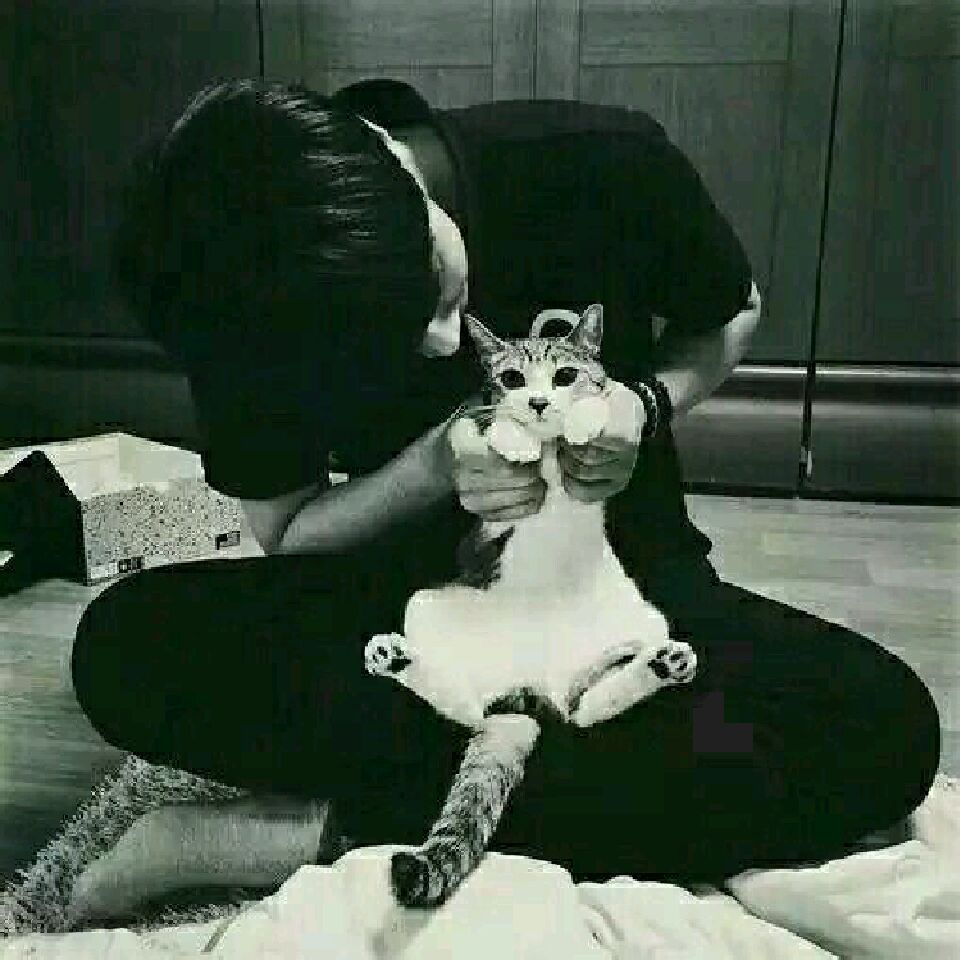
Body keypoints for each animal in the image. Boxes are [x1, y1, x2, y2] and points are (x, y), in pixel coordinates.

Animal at [363, 304, 697, 908]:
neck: (549, 452)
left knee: (586, 711)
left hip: (641, 619)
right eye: (513, 379)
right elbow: (490, 422)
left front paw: (584, 419)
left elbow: (602, 398)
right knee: (469, 708)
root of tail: (530, 688)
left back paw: (667, 663)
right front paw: (514, 437)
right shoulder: (483, 486)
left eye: (564, 376)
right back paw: (394, 657)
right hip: (427, 603)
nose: (540, 403)